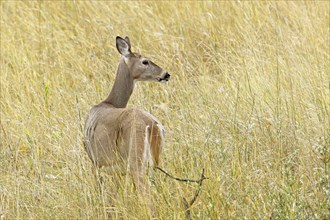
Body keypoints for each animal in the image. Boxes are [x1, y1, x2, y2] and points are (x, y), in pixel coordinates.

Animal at [83, 35, 170, 215]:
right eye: (145, 61)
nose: (166, 74)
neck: (108, 103)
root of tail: (152, 125)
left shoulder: (95, 161)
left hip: (136, 159)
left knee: (146, 195)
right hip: (157, 159)